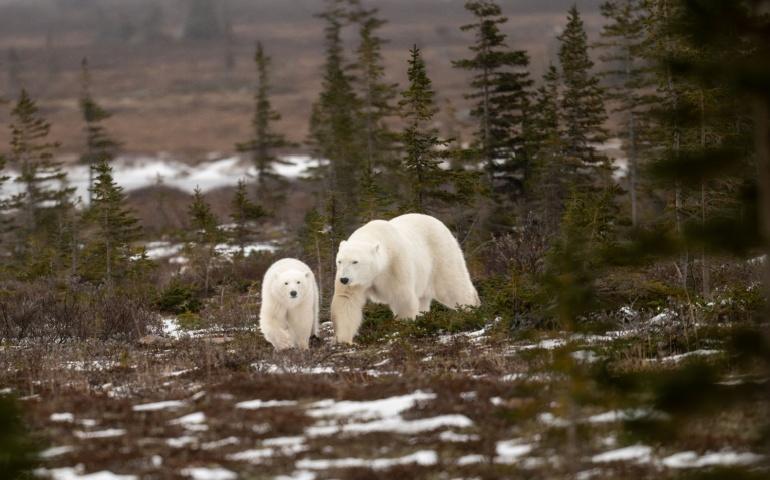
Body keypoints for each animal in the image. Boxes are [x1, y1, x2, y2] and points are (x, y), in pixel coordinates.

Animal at [331, 213, 480, 344]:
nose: (344, 279)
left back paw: (471, 309)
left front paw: (404, 328)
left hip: (441, 253)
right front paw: (345, 341)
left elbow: (402, 298)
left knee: (452, 285)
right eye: (340, 261)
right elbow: (346, 300)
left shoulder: (396, 264)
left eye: (355, 261)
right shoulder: (356, 281)